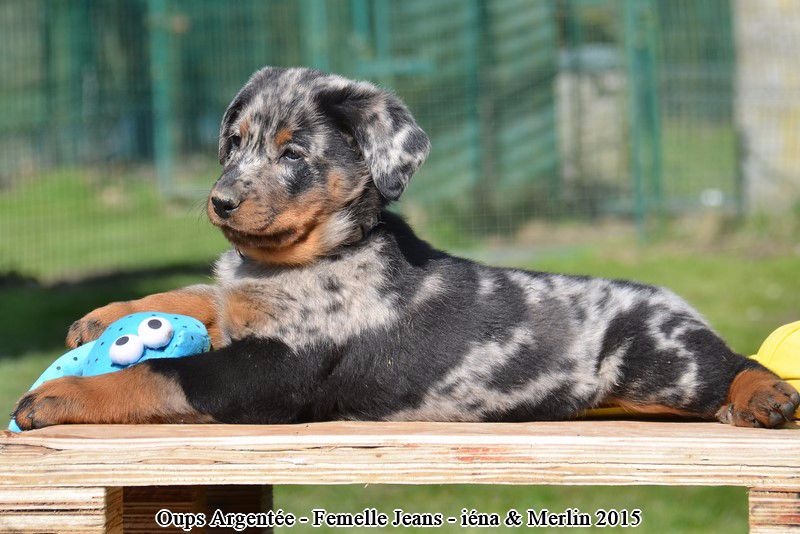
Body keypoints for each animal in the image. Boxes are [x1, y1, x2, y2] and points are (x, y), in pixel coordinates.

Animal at [14, 67, 799, 429]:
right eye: (233, 142)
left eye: (292, 153)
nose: (221, 201)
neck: (302, 259)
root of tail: (676, 302)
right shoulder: (237, 307)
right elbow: (196, 292)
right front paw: (102, 316)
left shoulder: (270, 372)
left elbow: (160, 373)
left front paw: (57, 393)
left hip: (659, 359)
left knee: (732, 362)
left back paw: (764, 397)